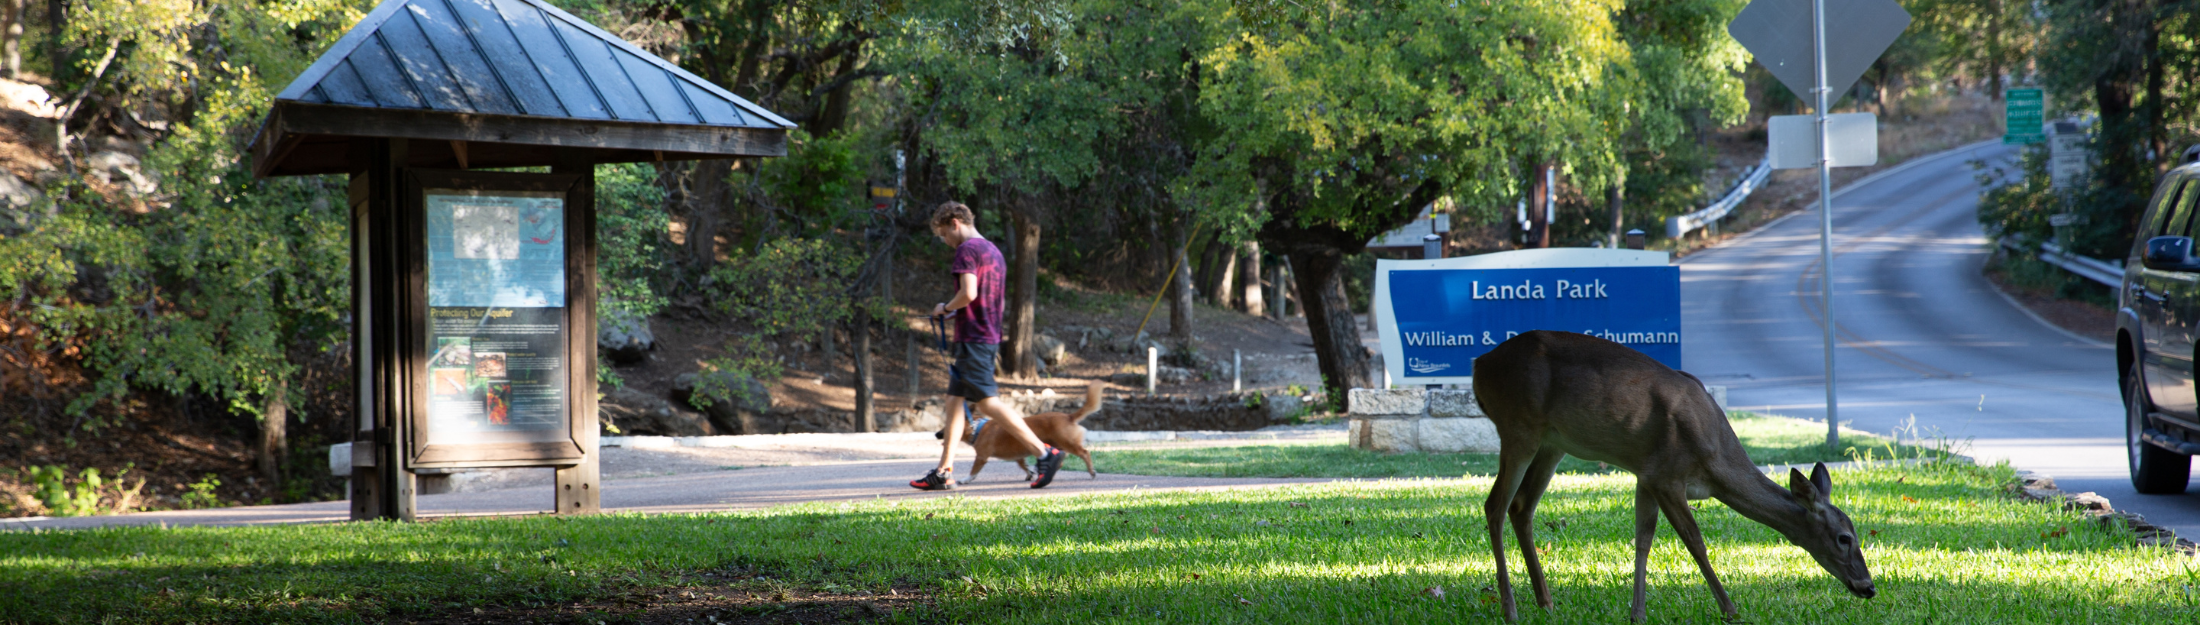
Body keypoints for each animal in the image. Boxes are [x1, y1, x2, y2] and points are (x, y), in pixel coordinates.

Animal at [1472, 330, 1874, 622]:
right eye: (1844, 538)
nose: (1868, 586)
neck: (1715, 462)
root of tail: (1479, 365)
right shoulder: (1667, 474)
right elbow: (1694, 541)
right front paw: (1729, 610)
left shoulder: (1645, 476)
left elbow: (1642, 540)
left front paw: (1637, 613)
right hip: (1519, 427)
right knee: (1495, 505)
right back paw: (1510, 608)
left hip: (1552, 443)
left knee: (1521, 506)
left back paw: (1546, 602)